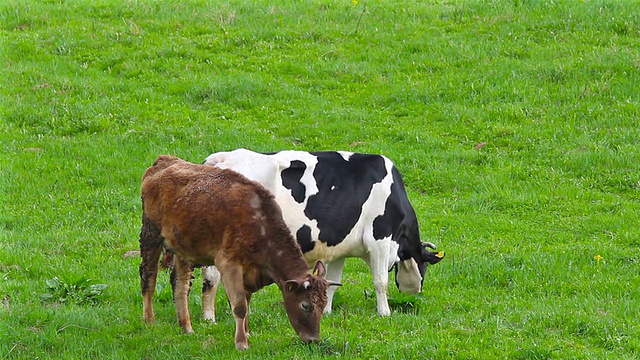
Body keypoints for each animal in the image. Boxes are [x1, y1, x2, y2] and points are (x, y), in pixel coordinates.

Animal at [139, 155, 330, 352]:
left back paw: (186, 327)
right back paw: (150, 320)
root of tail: (164, 161)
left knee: (180, 285)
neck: (260, 224)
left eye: (323, 305)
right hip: (150, 235)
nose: (313, 340)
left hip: (182, 249)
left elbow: (246, 301)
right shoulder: (229, 264)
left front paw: (247, 333)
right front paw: (241, 343)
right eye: (305, 305)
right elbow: (239, 306)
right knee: (149, 277)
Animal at [200, 149, 444, 318]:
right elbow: (380, 281)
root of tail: (221, 159)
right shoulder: (380, 238)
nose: (416, 293)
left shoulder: (340, 248)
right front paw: (384, 313)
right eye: (425, 266)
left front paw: (326, 312)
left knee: (209, 277)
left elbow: (333, 282)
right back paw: (213, 317)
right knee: (215, 276)